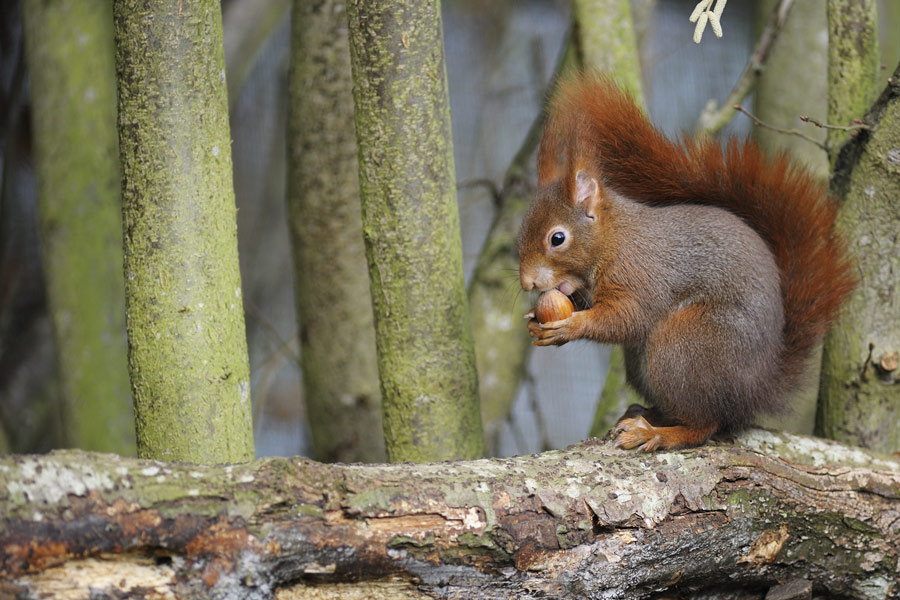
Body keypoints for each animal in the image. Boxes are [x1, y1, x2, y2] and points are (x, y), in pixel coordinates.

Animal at [516, 74, 856, 450]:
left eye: (557, 238)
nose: (527, 282)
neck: (614, 240)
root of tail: (756, 389)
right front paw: (534, 320)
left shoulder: (641, 274)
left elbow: (626, 318)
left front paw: (570, 326)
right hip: (646, 362)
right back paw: (648, 414)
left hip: (684, 345)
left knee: (704, 423)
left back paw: (658, 433)